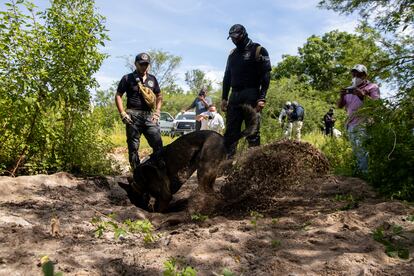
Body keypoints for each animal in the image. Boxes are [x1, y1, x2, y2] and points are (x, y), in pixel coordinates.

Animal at [118, 104, 258, 212]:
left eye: (136, 199)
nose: (142, 209)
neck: (142, 179)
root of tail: (224, 139)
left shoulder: (165, 196)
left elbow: (159, 208)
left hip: (203, 170)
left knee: (208, 191)